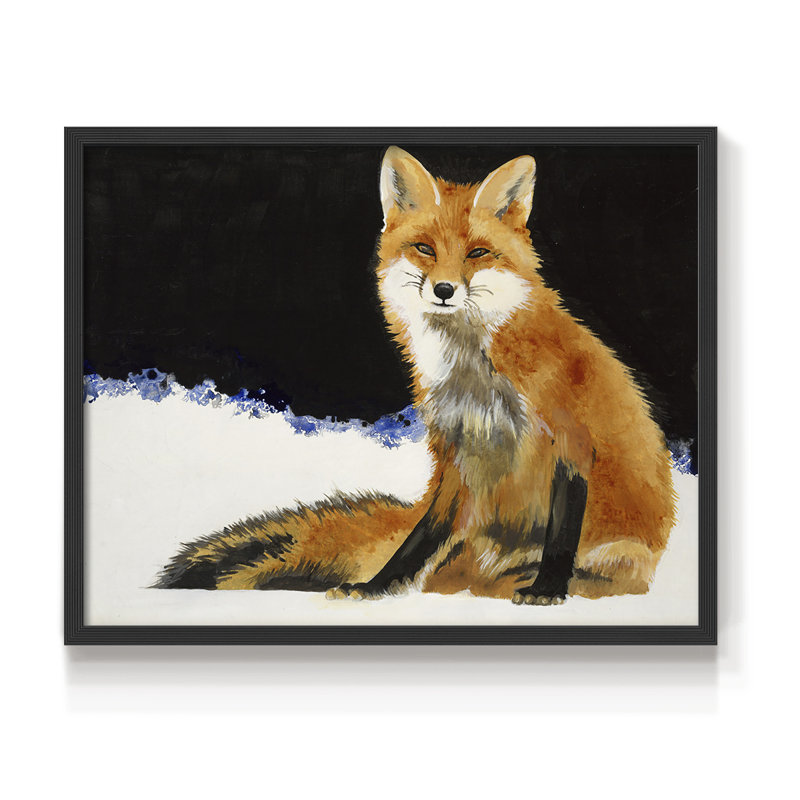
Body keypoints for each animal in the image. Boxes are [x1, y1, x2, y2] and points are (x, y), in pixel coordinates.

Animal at [155, 147, 677, 605]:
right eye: (425, 248)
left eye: (477, 253)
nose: (444, 290)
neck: (476, 375)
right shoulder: (455, 453)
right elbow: (420, 539)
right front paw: (376, 587)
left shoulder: (571, 439)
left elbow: (561, 535)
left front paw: (548, 588)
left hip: (620, 556)